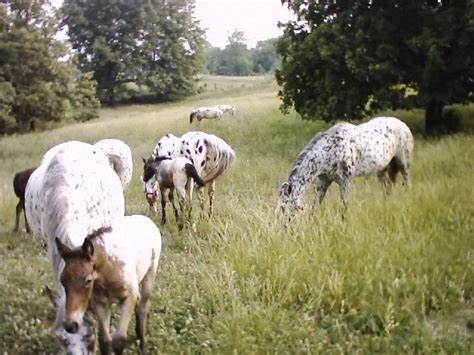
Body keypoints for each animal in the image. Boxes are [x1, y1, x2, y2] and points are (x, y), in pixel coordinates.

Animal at [56, 216, 161, 355]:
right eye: (62, 281)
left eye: (88, 280)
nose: (70, 325)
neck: (109, 269)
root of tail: (146, 219)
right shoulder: (100, 303)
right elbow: (105, 341)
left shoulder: (128, 298)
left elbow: (119, 340)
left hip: (149, 275)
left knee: (143, 307)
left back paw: (142, 344)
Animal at [276, 118, 412, 216]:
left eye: (285, 210)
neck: (329, 152)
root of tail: (403, 125)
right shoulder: (323, 181)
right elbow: (315, 204)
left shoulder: (344, 180)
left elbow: (345, 204)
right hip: (382, 170)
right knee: (387, 188)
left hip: (403, 164)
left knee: (406, 181)